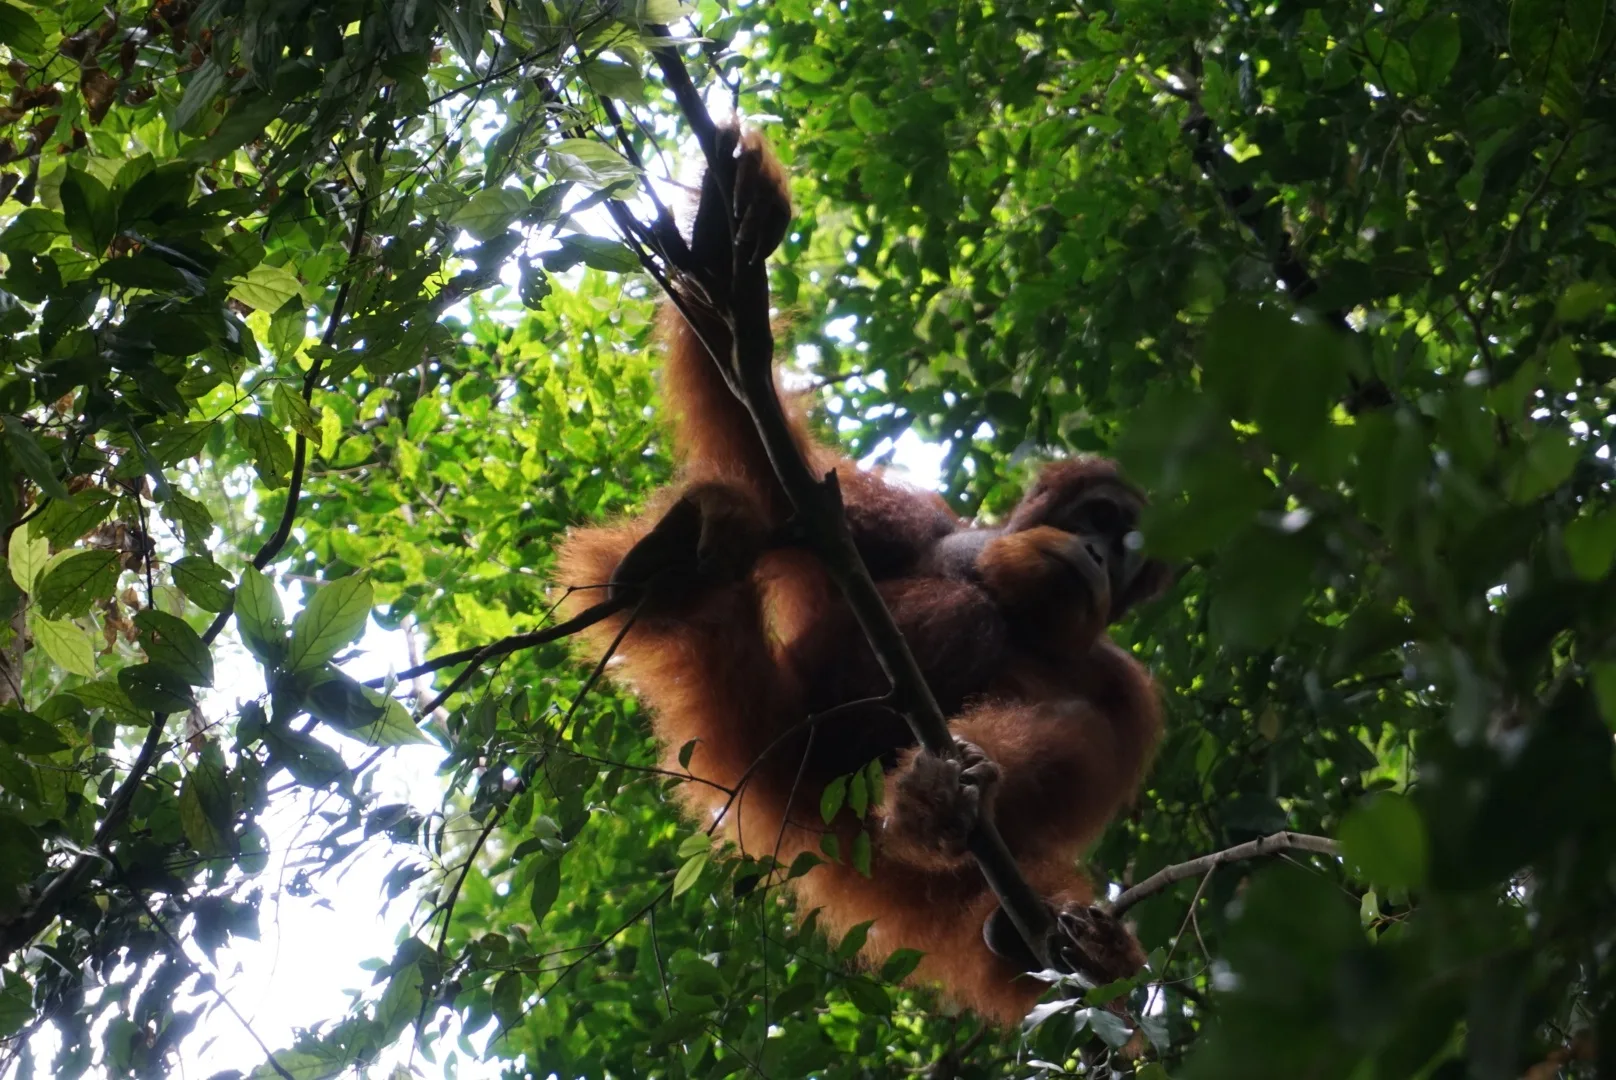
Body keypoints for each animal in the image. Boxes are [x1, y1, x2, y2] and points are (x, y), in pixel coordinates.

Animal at [553, 124, 1170, 1025]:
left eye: (1127, 550)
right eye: (1097, 520)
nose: (1098, 555)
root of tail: (796, 808)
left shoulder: (1127, 688)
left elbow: (1085, 754)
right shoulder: (904, 526)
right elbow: (778, 473)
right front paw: (727, 238)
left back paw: (1001, 888)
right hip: (776, 731)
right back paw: (673, 558)